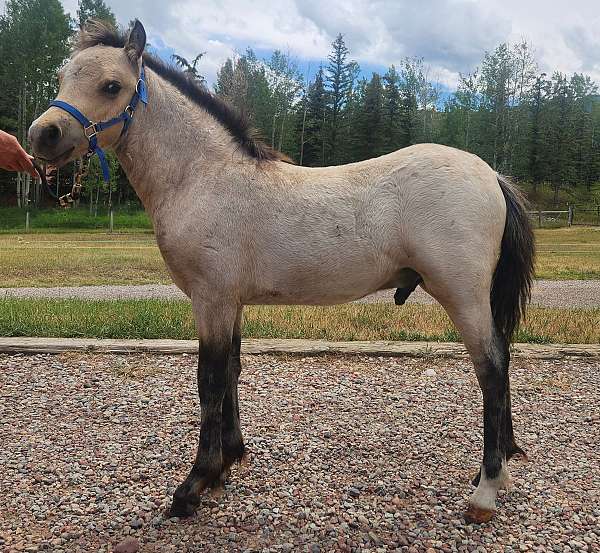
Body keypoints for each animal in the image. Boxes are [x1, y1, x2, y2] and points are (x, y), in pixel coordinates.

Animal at [28, 20, 536, 520]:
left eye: (112, 85)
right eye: (62, 77)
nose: (42, 135)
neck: (203, 177)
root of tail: (492, 175)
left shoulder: (210, 299)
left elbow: (210, 382)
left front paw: (193, 486)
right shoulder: (230, 302)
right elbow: (232, 371)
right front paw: (227, 463)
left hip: (462, 294)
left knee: (492, 369)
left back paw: (486, 489)